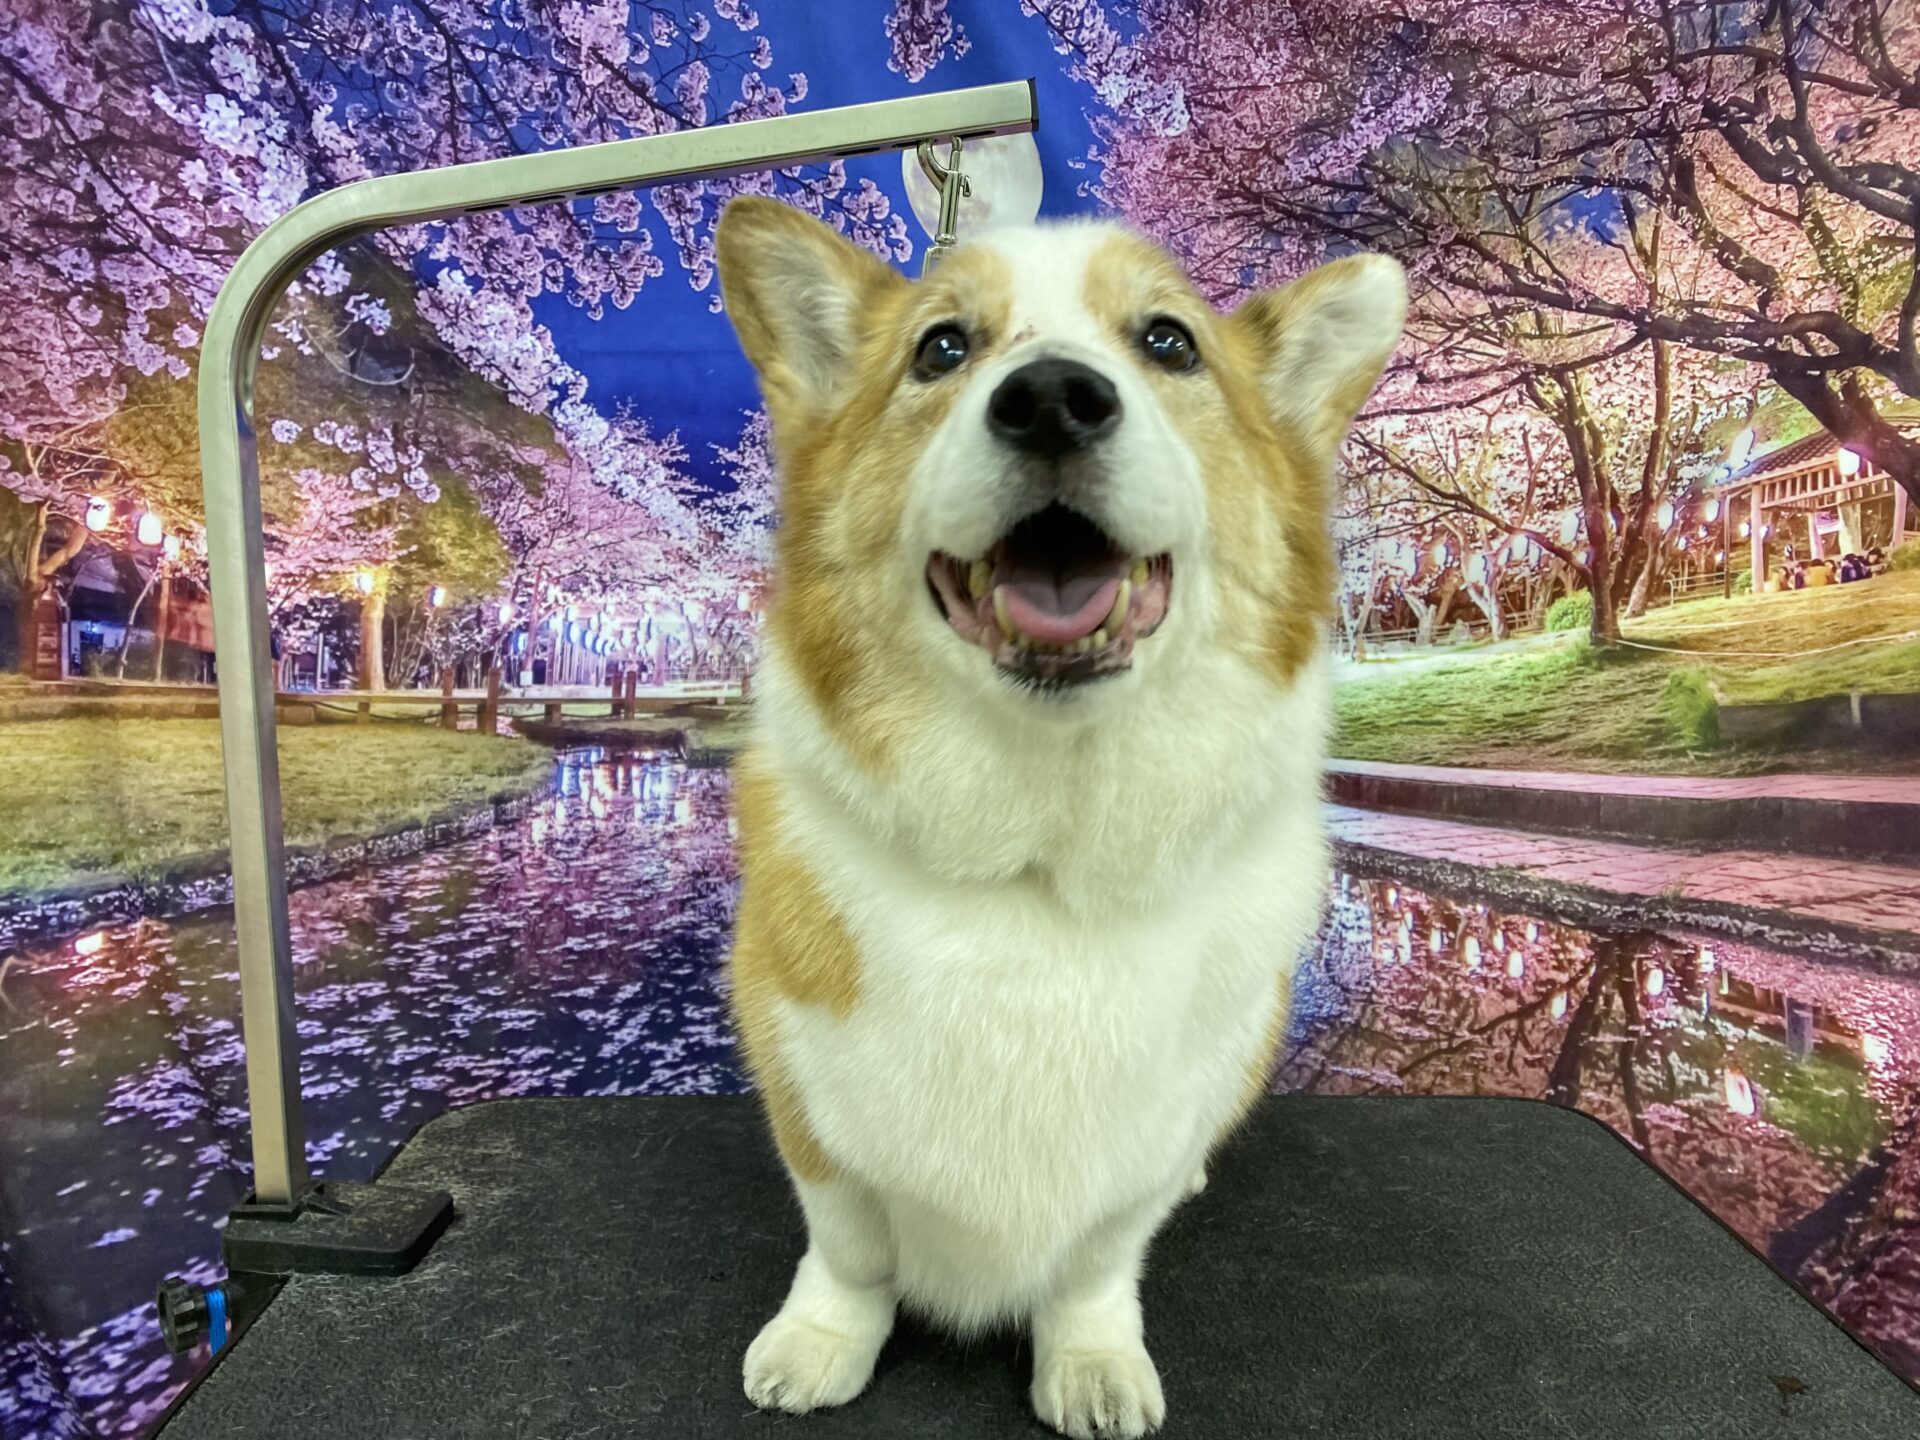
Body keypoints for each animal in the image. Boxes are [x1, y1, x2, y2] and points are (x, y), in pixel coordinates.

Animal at [714, 195, 1404, 1438]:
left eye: (1170, 342)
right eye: (941, 348)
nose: (1050, 398)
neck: (1037, 852)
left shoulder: (1144, 1152)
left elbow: (1097, 1263)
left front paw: (1090, 1364)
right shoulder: (810, 1099)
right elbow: (848, 1249)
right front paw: (820, 1344)